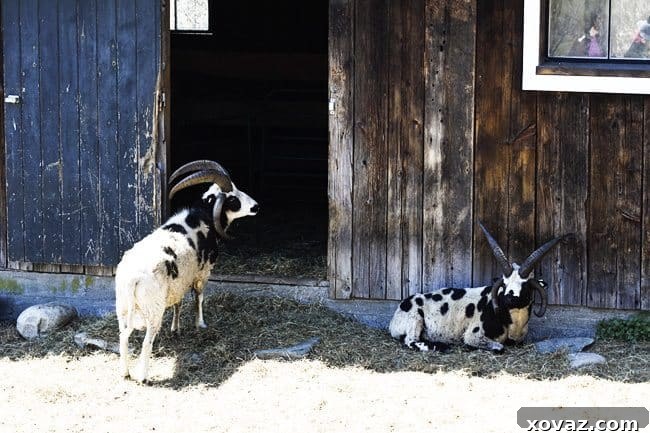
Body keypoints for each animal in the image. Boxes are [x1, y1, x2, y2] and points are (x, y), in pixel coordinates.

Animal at [115, 160, 259, 382]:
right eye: (232, 198)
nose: (255, 206)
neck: (204, 217)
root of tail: (132, 280)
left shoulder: (178, 282)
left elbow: (178, 303)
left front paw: (176, 328)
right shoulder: (202, 273)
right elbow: (199, 298)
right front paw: (201, 324)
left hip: (121, 308)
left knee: (123, 337)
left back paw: (125, 373)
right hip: (153, 310)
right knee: (147, 342)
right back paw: (143, 377)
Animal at [389, 223, 571, 353]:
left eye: (525, 285)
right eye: (504, 284)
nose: (509, 299)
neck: (513, 322)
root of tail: (395, 319)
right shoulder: (473, 335)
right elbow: (499, 347)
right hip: (415, 319)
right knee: (410, 340)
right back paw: (439, 346)